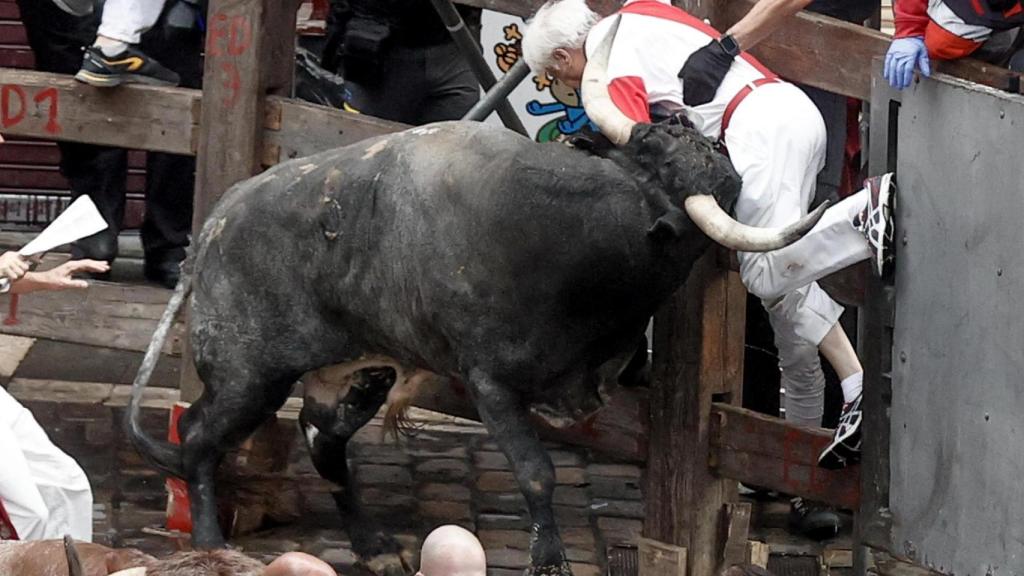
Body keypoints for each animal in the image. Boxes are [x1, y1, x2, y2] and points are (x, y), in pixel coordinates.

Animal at [130, 118, 745, 569]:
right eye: (655, 150)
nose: (702, 133)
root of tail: (219, 215)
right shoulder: (491, 383)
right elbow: (536, 472)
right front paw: (548, 561)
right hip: (247, 376)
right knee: (197, 436)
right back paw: (210, 543)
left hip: (356, 372)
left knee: (322, 439)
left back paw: (374, 547)